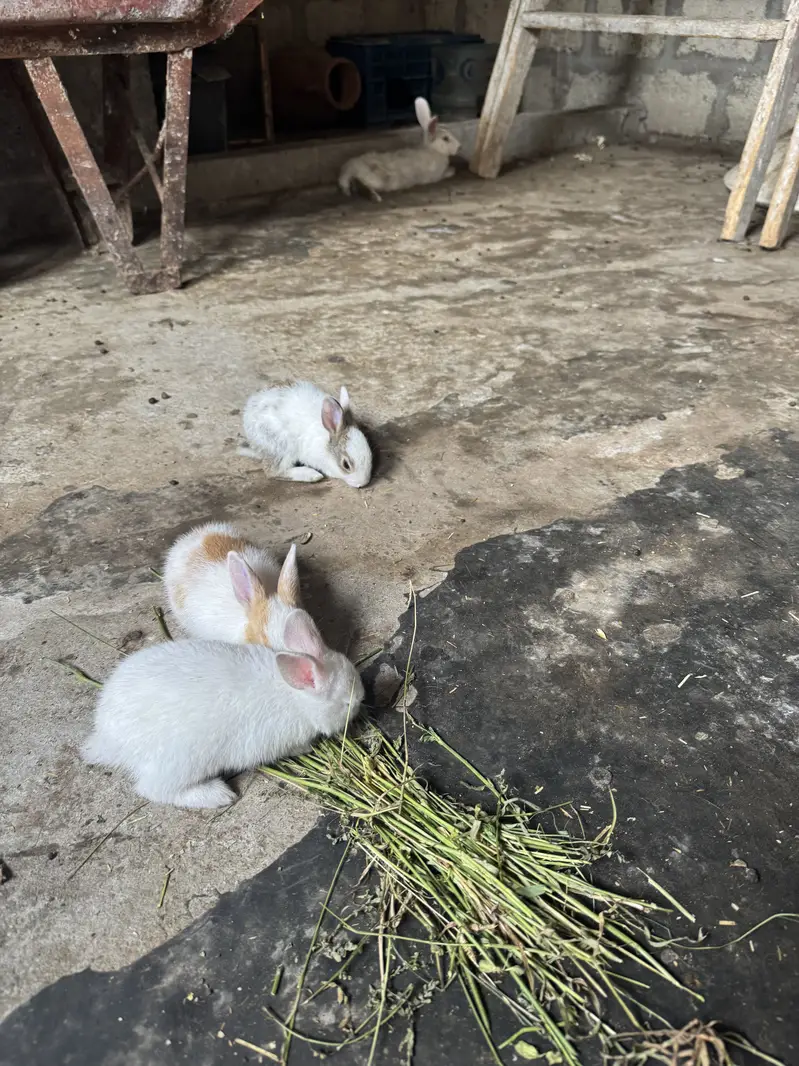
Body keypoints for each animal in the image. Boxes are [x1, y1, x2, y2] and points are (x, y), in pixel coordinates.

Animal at [81, 609, 364, 808]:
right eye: (347, 702)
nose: (362, 698)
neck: (295, 697)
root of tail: (108, 739)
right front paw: (306, 748)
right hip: (181, 762)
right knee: (154, 789)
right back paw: (218, 795)